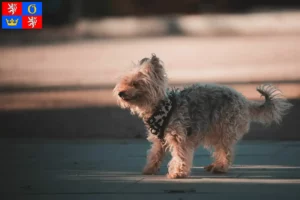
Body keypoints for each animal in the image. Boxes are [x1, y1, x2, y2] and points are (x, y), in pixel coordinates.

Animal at [114, 53, 292, 178]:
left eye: (136, 83)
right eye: (124, 82)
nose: (120, 93)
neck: (160, 107)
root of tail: (244, 100)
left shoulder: (179, 137)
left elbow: (180, 155)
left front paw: (178, 173)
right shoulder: (159, 140)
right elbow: (155, 154)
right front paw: (149, 169)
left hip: (224, 128)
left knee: (226, 150)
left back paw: (220, 167)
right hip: (215, 131)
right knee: (221, 149)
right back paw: (215, 165)